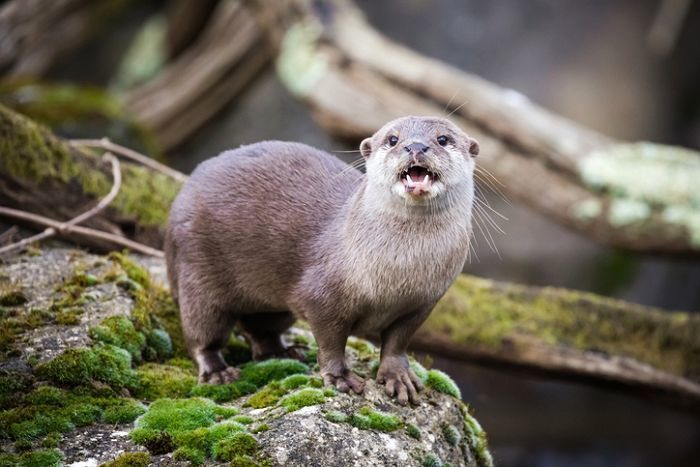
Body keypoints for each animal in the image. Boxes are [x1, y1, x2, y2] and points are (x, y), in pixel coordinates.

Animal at [167, 115, 478, 404]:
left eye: (442, 139)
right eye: (392, 139)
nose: (415, 146)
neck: (399, 274)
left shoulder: (422, 304)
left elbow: (397, 343)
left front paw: (398, 376)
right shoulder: (322, 295)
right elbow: (331, 341)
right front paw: (340, 378)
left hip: (273, 304)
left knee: (259, 328)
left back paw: (284, 352)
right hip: (197, 272)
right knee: (202, 332)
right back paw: (218, 372)